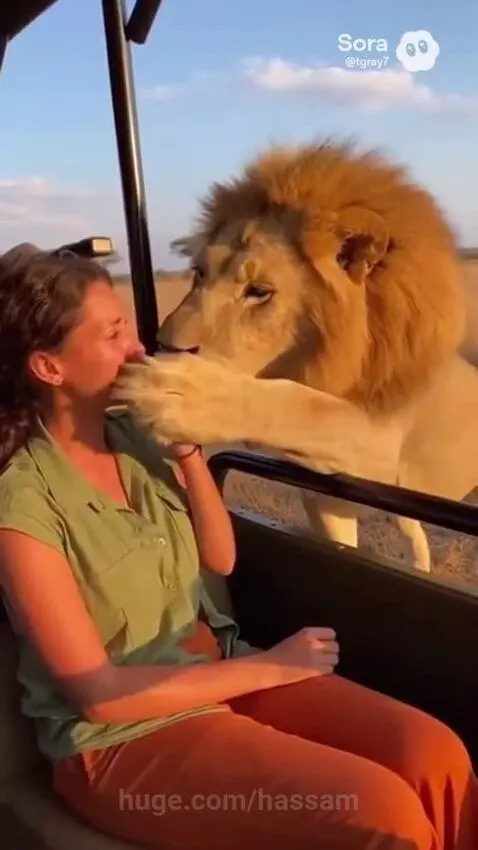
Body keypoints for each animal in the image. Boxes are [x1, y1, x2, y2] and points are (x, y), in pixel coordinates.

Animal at [113, 138, 478, 575]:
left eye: (259, 291)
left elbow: (303, 408)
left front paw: (176, 393)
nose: (163, 346)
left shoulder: (383, 451)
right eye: (199, 272)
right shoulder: (326, 501)